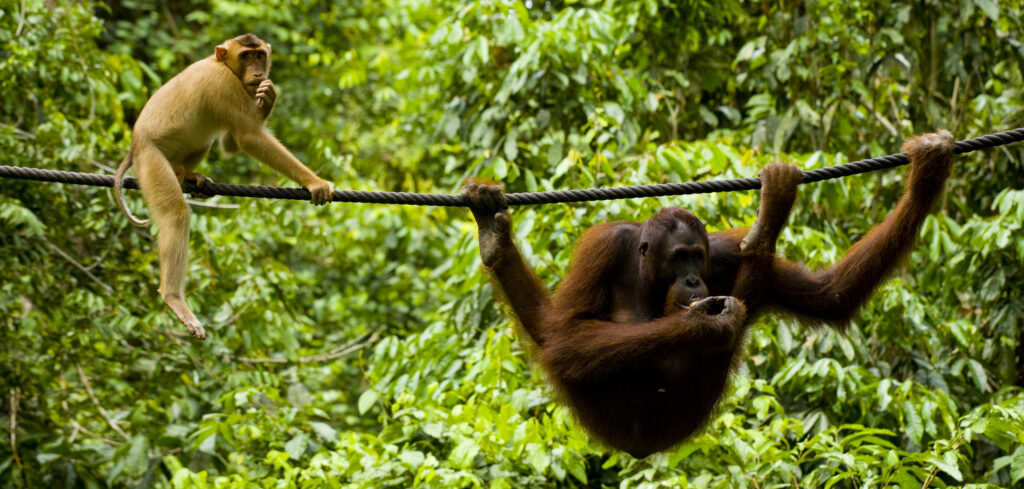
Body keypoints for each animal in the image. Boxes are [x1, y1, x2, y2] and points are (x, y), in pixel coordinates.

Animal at [114, 33, 333, 340]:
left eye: (260, 55)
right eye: (245, 56)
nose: (258, 73)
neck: (222, 65)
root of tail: (135, 145)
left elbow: (231, 143)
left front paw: (267, 99)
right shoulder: (223, 84)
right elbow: (249, 137)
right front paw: (314, 181)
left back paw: (187, 176)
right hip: (151, 160)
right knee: (175, 214)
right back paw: (173, 298)